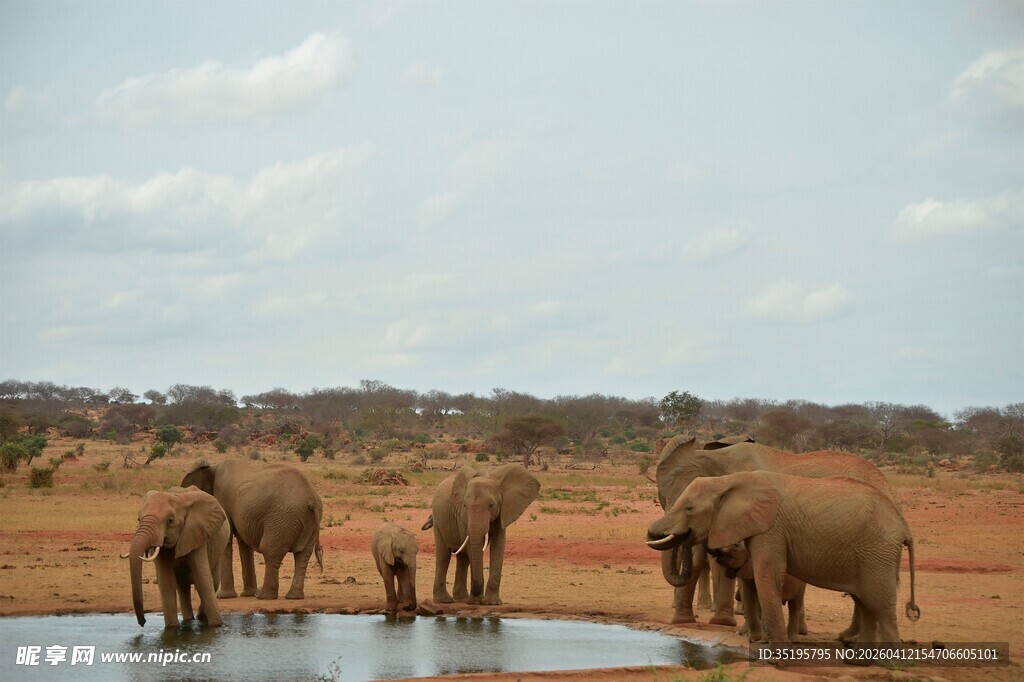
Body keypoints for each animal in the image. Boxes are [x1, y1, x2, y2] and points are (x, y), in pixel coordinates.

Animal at [122, 486, 230, 628]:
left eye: (170, 521)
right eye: (138, 519)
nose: (143, 622)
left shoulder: (196, 534)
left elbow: (203, 580)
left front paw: (216, 626)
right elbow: (166, 582)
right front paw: (172, 628)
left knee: (213, 581)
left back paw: (200, 617)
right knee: (183, 586)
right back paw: (189, 620)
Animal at [182, 458, 323, 600]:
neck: (213, 467)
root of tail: (311, 499)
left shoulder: (222, 497)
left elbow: (228, 539)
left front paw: (223, 596)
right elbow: (243, 543)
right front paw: (246, 594)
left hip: (282, 520)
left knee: (270, 550)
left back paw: (263, 596)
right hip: (306, 522)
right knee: (302, 555)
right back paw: (293, 596)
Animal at [421, 464, 540, 605]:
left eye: (492, 505)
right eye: (465, 505)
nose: (479, 596)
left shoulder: (503, 512)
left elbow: (498, 547)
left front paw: (492, 603)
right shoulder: (463, 517)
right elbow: (472, 548)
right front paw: (476, 601)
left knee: (462, 558)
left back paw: (462, 599)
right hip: (438, 520)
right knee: (444, 555)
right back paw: (445, 601)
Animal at [647, 471, 920, 645]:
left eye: (689, 509)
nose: (687, 536)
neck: (729, 480)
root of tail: (904, 527)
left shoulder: (771, 529)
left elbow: (766, 575)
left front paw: (774, 651)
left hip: (877, 552)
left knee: (879, 602)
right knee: (865, 602)